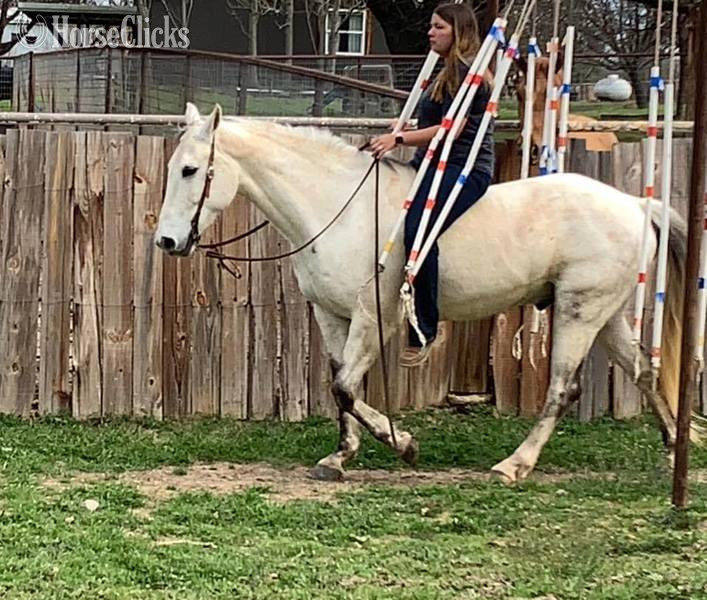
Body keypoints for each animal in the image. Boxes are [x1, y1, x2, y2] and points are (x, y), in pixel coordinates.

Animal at [155, 102, 697, 484]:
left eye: (189, 170)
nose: (167, 241)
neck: (337, 207)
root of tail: (635, 204)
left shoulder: (374, 316)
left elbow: (345, 387)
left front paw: (403, 444)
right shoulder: (331, 316)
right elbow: (340, 384)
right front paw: (340, 456)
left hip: (578, 311)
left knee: (563, 389)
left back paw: (514, 464)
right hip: (606, 312)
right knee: (643, 370)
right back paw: (674, 446)